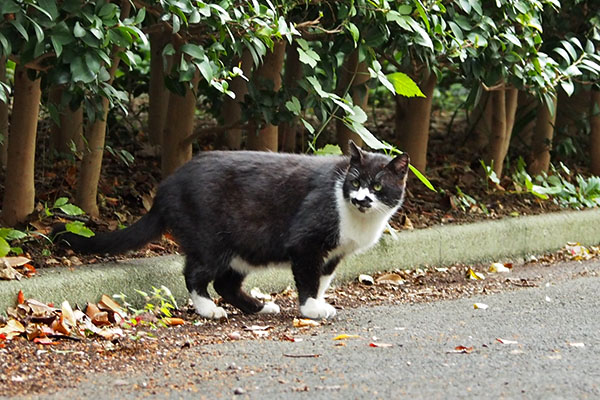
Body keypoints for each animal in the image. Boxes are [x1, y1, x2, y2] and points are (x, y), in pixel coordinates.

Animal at [56, 142, 410, 320]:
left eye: (377, 186)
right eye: (355, 181)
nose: (361, 199)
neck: (359, 219)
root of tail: (167, 185)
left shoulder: (333, 254)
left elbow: (322, 280)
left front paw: (318, 303)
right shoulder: (305, 243)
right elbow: (309, 279)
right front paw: (311, 309)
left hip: (245, 248)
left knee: (226, 282)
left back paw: (259, 307)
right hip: (211, 241)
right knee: (195, 274)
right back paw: (209, 309)